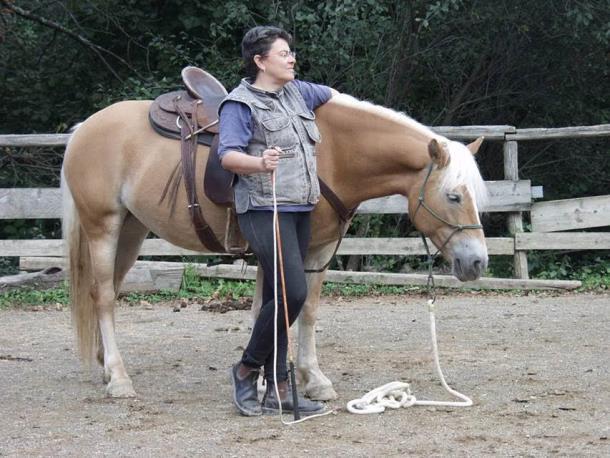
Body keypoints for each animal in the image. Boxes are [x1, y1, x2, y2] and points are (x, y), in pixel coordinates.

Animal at [61, 92, 486, 398]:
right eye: (452, 195)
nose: (478, 262)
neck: (331, 152)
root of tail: (85, 128)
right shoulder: (287, 248)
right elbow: (280, 310)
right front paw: (271, 381)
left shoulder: (315, 250)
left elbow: (301, 311)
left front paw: (310, 379)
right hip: (103, 226)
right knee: (103, 296)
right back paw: (119, 379)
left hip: (131, 231)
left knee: (110, 289)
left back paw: (105, 366)